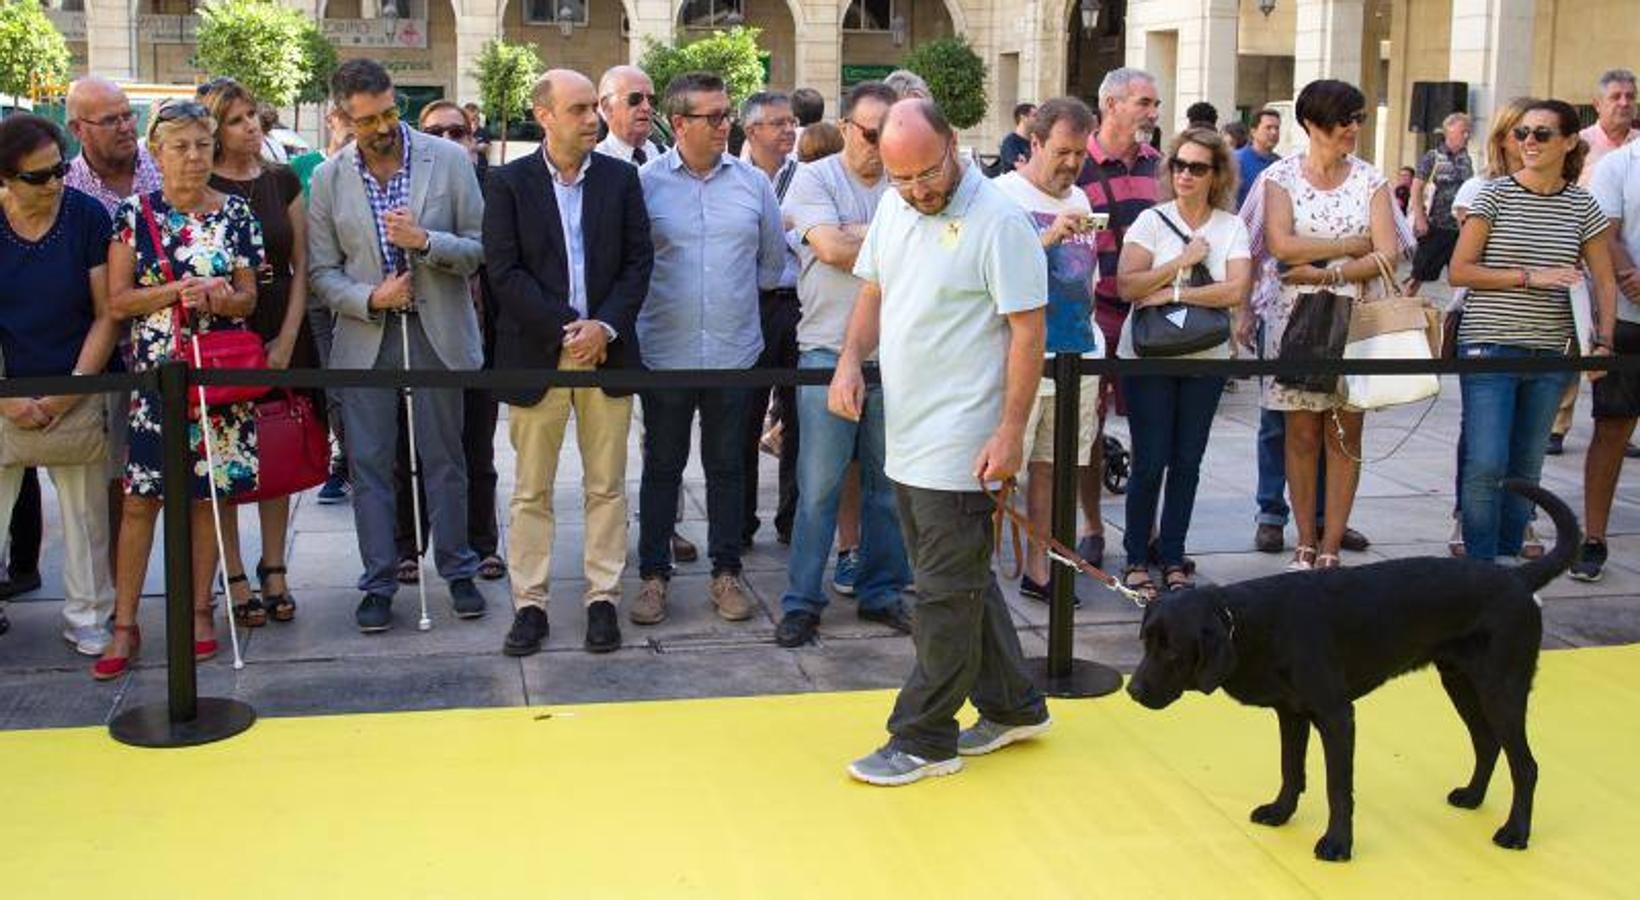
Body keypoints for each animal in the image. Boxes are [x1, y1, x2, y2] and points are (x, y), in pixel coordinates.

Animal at [1128, 481, 1574, 859]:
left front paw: (1338, 844)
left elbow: (1337, 788)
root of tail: (1517, 578)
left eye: (1172, 652)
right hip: (1460, 681)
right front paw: (1280, 813)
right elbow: (1291, 770)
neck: (1249, 623)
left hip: (1501, 689)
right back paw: (1472, 797)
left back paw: (1515, 832)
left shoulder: (1337, 716)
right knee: (1487, 743)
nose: (1133, 692)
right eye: (1145, 643)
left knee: (1526, 766)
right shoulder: (1291, 713)